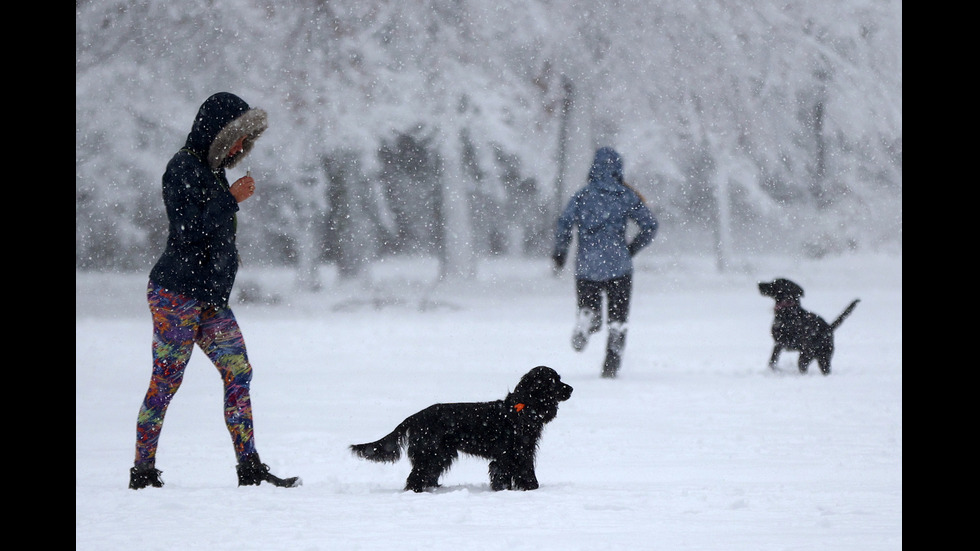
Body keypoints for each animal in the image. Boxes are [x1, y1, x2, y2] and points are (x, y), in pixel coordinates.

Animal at [348, 366, 572, 492]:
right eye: (554, 381)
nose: (571, 388)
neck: (521, 409)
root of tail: (414, 417)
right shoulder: (513, 453)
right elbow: (518, 473)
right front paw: (527, 489)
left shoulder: (519, 452)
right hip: (431, 452)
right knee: (415, 477)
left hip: (440, 455)